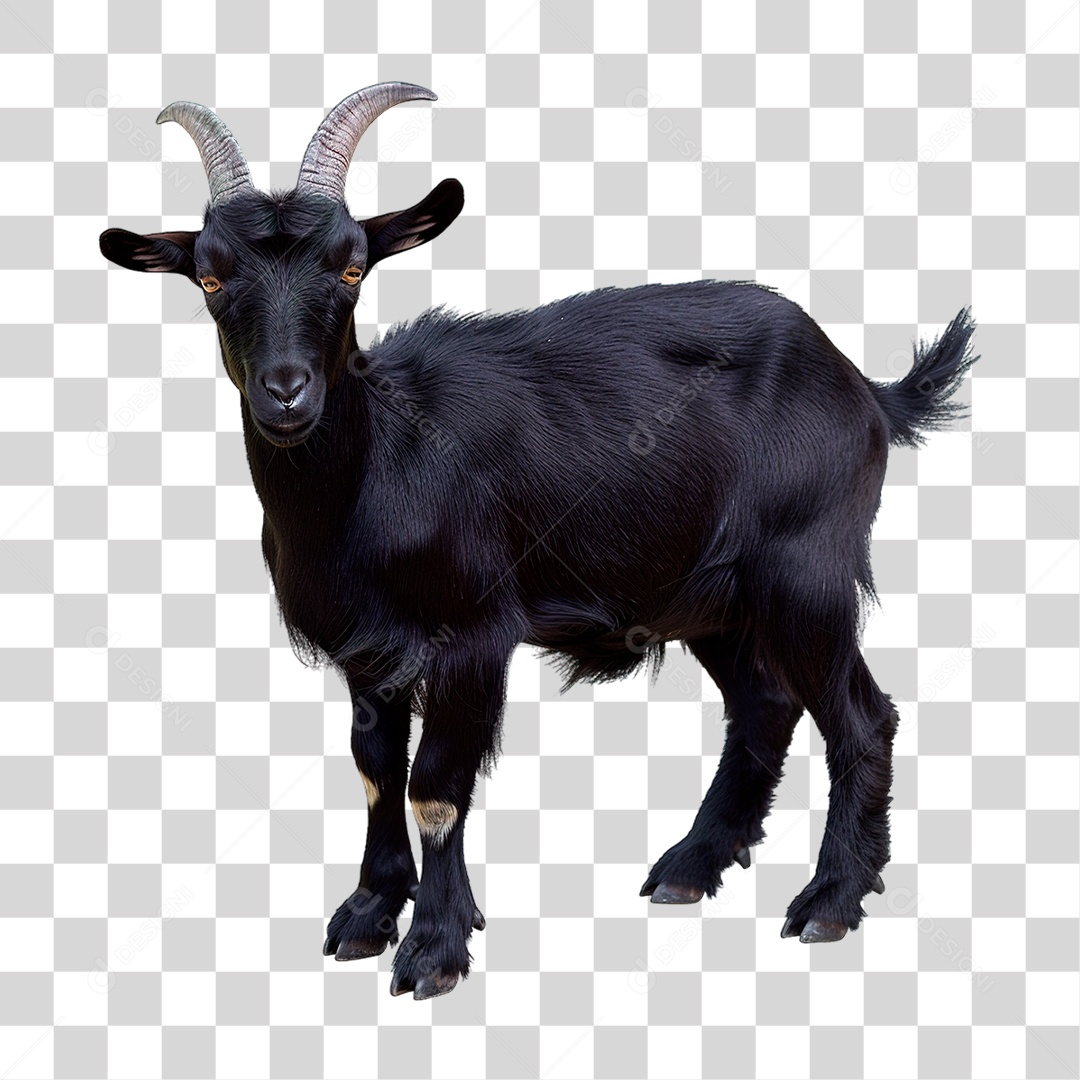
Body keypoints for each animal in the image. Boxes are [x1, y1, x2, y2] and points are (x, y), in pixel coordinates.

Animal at [100, 83, 979, 1000]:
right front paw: (369, 915)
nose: (285, 391)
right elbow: (376, 769)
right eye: (210, 275)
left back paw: (830, 900)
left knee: (861, 716)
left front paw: (434, 950)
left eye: (350, 268)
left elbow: (436, 786)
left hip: (805, 569)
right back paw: (690, 866)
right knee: (764, 706)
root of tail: (865, 388)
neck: (378, 470)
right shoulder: (366, 651)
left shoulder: (474, 633)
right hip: (705, 594)